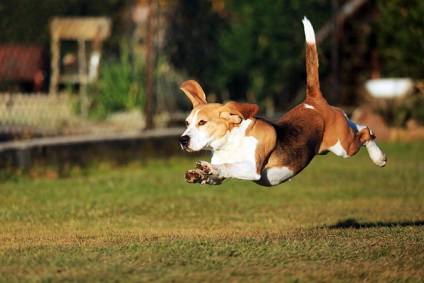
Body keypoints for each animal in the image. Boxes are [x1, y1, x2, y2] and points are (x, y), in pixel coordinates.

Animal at [177, 17, 386, 186]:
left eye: (202, 122)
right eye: (187, 123)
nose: (182, 140)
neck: (230, 142)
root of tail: (313, 100)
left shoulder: (251, 168)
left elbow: (228, 166)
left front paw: (209, 167)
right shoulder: (220, 178)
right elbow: (215, 176)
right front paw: (197, 174)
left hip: (344, 147)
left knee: (365, 133)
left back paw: (379, 158)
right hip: (339, 139)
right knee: (360, 126)